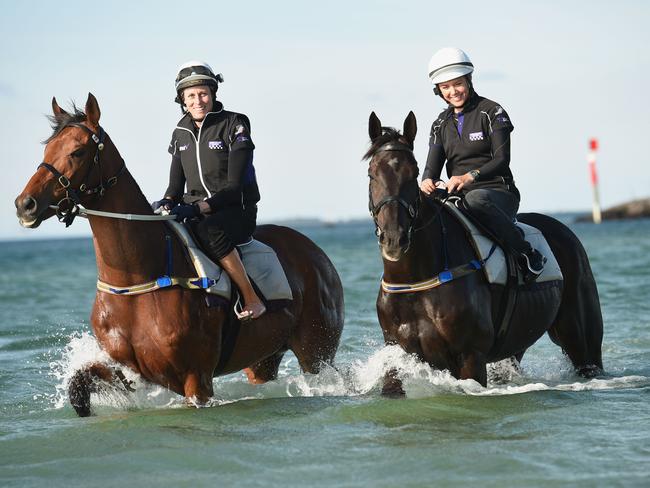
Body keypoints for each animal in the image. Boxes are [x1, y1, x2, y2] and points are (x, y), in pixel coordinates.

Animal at [13, 94, 344, 416]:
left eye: (78, 152)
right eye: (48, 149)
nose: (25, 204)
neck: (138, 279)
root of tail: (316, 253)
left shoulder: (196, 380)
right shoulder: (131, 374)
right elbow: (79, 385)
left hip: (316, 353)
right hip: (262, 359)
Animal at [364, 112, 604, 394]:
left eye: (413, 174)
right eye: (371, 173)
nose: (394, 238)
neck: (416, 278)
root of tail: (564, 231)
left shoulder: (470, 356)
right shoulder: (396, 353)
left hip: (581, 341)